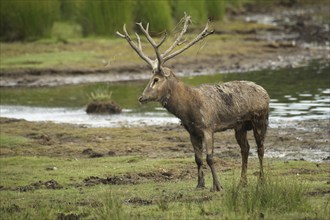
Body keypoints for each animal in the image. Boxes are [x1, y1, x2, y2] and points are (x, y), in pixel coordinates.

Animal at [117, 13, 270, 192]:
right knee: (245, 149)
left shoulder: (208, 127)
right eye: (150, 78)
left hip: (260, 119)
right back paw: (242, 182)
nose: (142, 97)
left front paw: (217, 186)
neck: (188, 111)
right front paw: (200, 184)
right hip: (240, 126)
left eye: (156, 79)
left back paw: (261, 181)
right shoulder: (192, 132)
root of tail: (265, 92)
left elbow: (210, 157)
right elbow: (197, 158)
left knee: (260, 148)